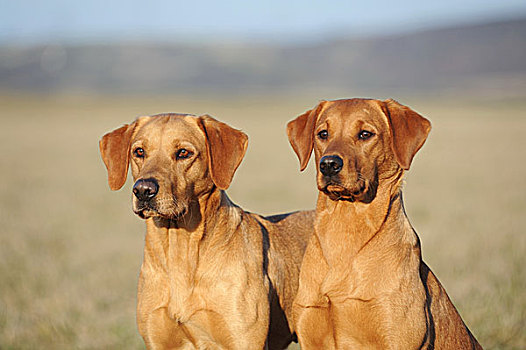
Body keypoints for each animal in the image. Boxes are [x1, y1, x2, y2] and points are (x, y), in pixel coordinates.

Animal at [99, 113, 316, 348]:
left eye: (183, 153)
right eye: (139, 151)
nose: (143, 190)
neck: (180, 254)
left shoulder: (245, 341)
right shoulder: (158, 342)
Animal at [288, 99, 482, 350]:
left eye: (365, 134)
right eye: (323, 134)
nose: (329, 164)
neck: (345, 229)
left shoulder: (397, 336)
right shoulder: (311, 333)